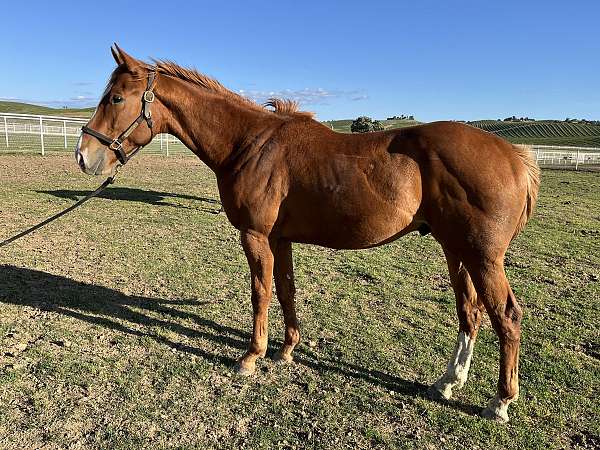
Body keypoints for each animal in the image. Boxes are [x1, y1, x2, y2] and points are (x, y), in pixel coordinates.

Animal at [74, 45, 540, 422]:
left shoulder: (256, 236)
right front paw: (286, 350)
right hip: (455, 250)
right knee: (470, 312)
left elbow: (260, 292)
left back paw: (499, 402)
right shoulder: (280, 240)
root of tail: (514, 156)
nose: (84, 156)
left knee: (506, 316)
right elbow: (285, 290)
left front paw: (252, 356)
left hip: (481, 256)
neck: (249, 144)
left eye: (116, 98)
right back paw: (447, 382)